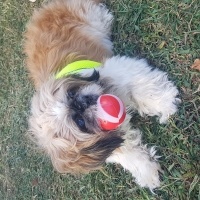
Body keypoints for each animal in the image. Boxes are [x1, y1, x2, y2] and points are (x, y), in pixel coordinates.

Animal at [23, 0, 180, 191]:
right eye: (80, 122)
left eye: (71, 93)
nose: (81, 104)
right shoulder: (108, 142)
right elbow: (128, 152)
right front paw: (146, 170)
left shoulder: (119, 71)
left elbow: (144, 89)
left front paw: (165, 102)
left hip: (91, 17)